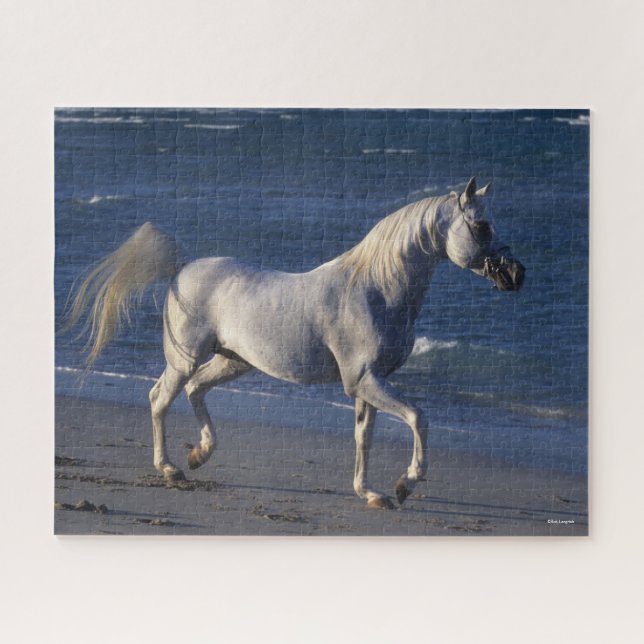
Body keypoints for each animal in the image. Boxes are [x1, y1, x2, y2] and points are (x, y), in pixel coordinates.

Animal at [64, 177, 525, 509]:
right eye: (482, 226)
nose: (516, 275)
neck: (375, 289)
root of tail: (183, 268)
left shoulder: (367, 385)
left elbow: (364, 437)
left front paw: (370, 493)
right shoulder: (364, 380)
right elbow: (417, 417)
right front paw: (404, 484)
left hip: (233, 362)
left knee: (194, 391)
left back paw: (200, 455)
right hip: (185, 359)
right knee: (160, 398)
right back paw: (171, 468)